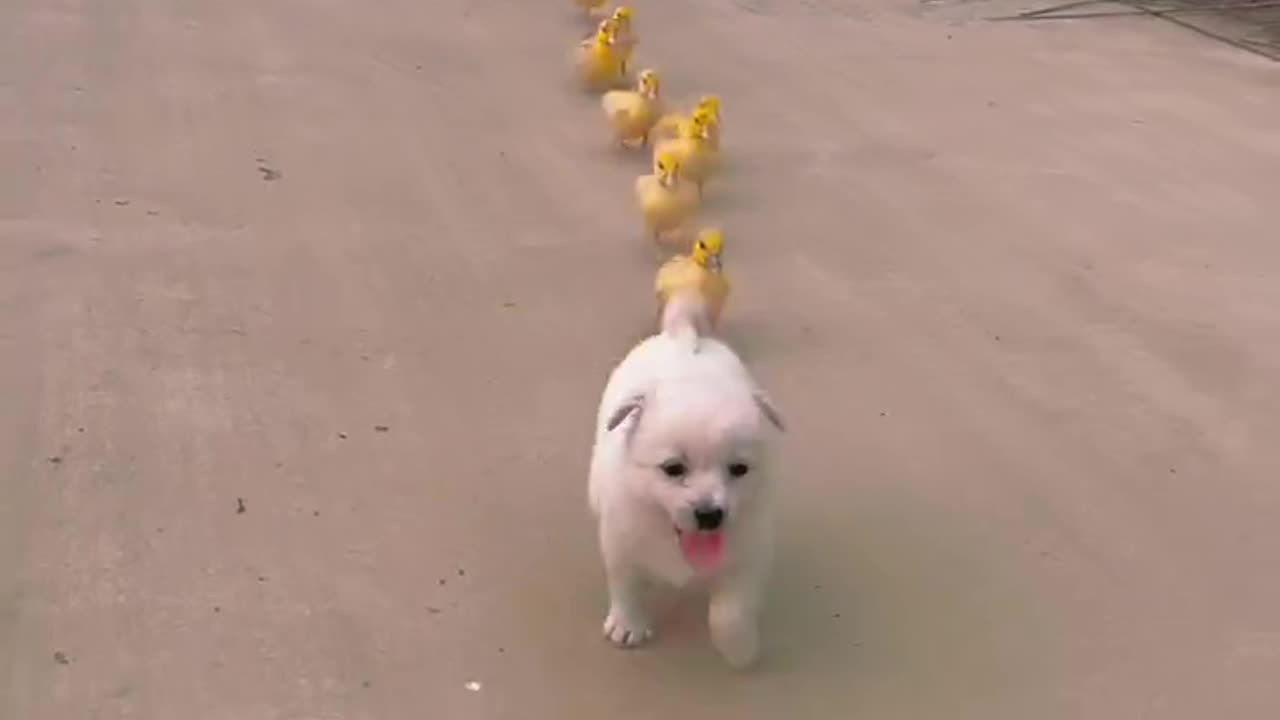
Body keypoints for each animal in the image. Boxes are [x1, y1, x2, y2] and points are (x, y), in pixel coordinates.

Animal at [586, 293, 783, 666]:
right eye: (673, 469)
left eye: (739, 469)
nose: (710, 515)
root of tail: (683, 336)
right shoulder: (619, 540)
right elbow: (625, 582)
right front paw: (628, 623)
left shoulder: (749, 550)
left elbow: (730, 611)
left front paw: (738, 647)